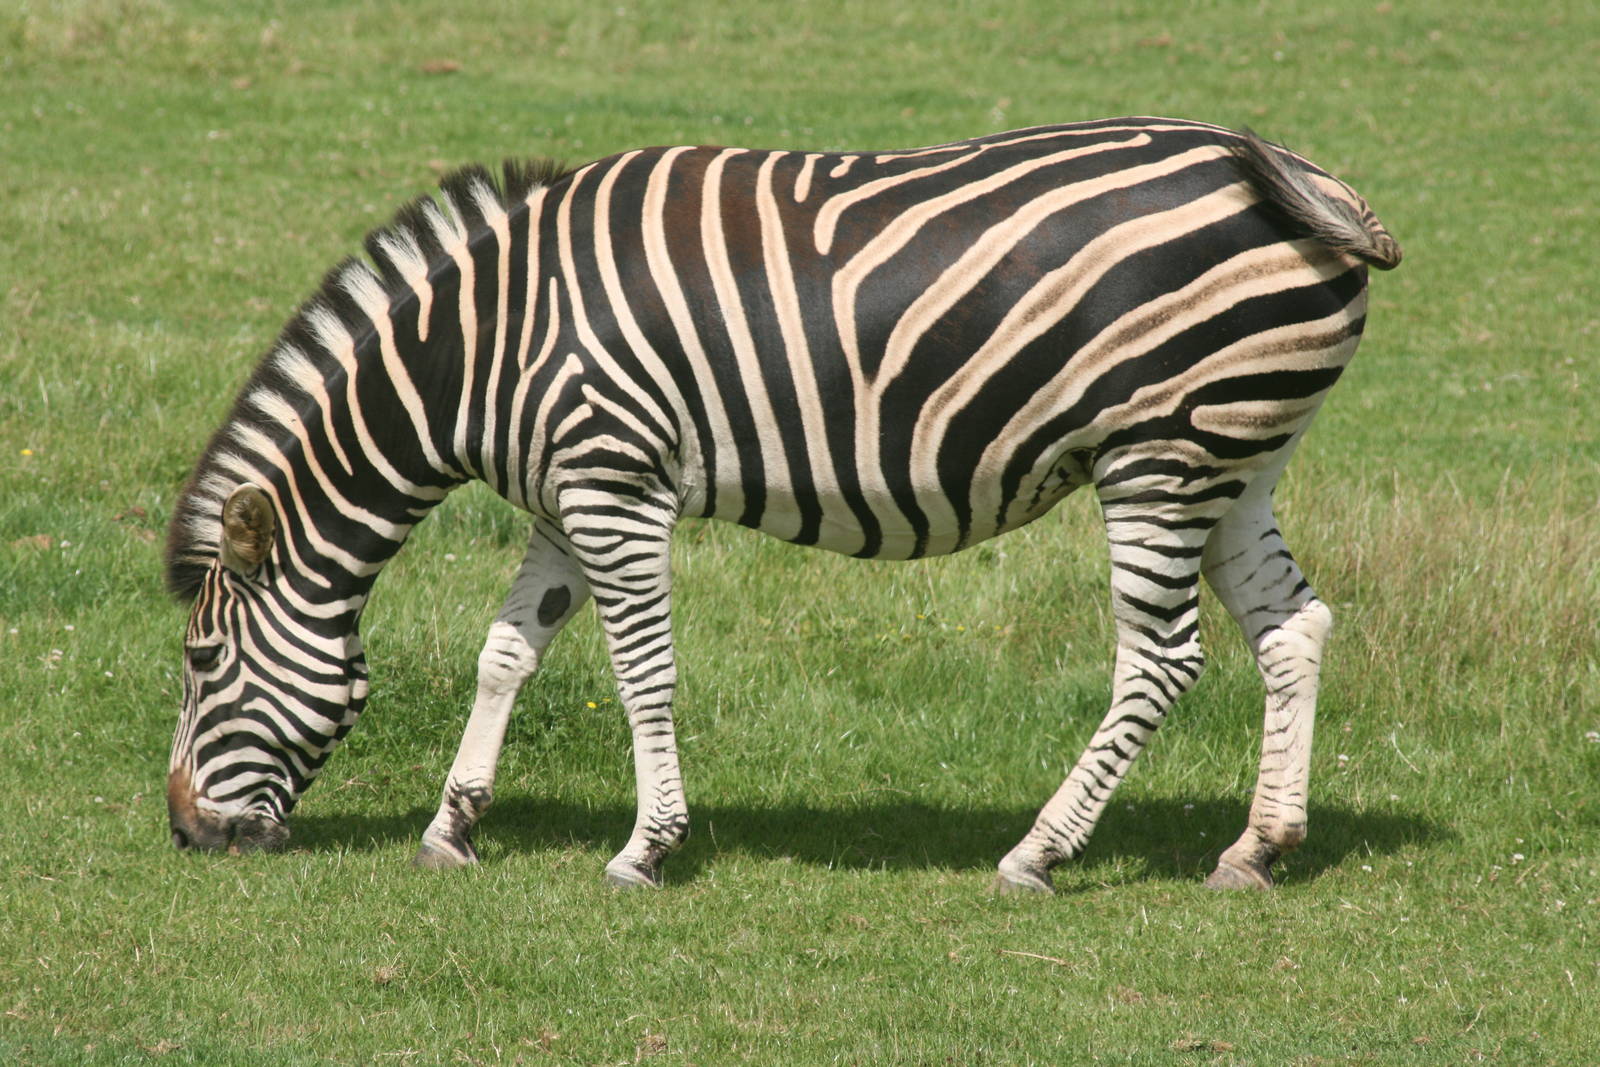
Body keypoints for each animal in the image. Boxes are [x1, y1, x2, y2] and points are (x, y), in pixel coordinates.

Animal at [164, 116, 1400, 893]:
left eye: (199, 660)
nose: (184, 832)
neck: (481, 349)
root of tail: (1320, 185)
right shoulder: (569, 493)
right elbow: (506, 650)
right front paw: (452, 824)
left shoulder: (614, 485)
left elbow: (639, 671)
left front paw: (646, 848)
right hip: (1236, 453)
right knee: (1293, 628)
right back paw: (1257, 848)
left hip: (1161, 450)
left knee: (1160, 658)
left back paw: (1038, 853)